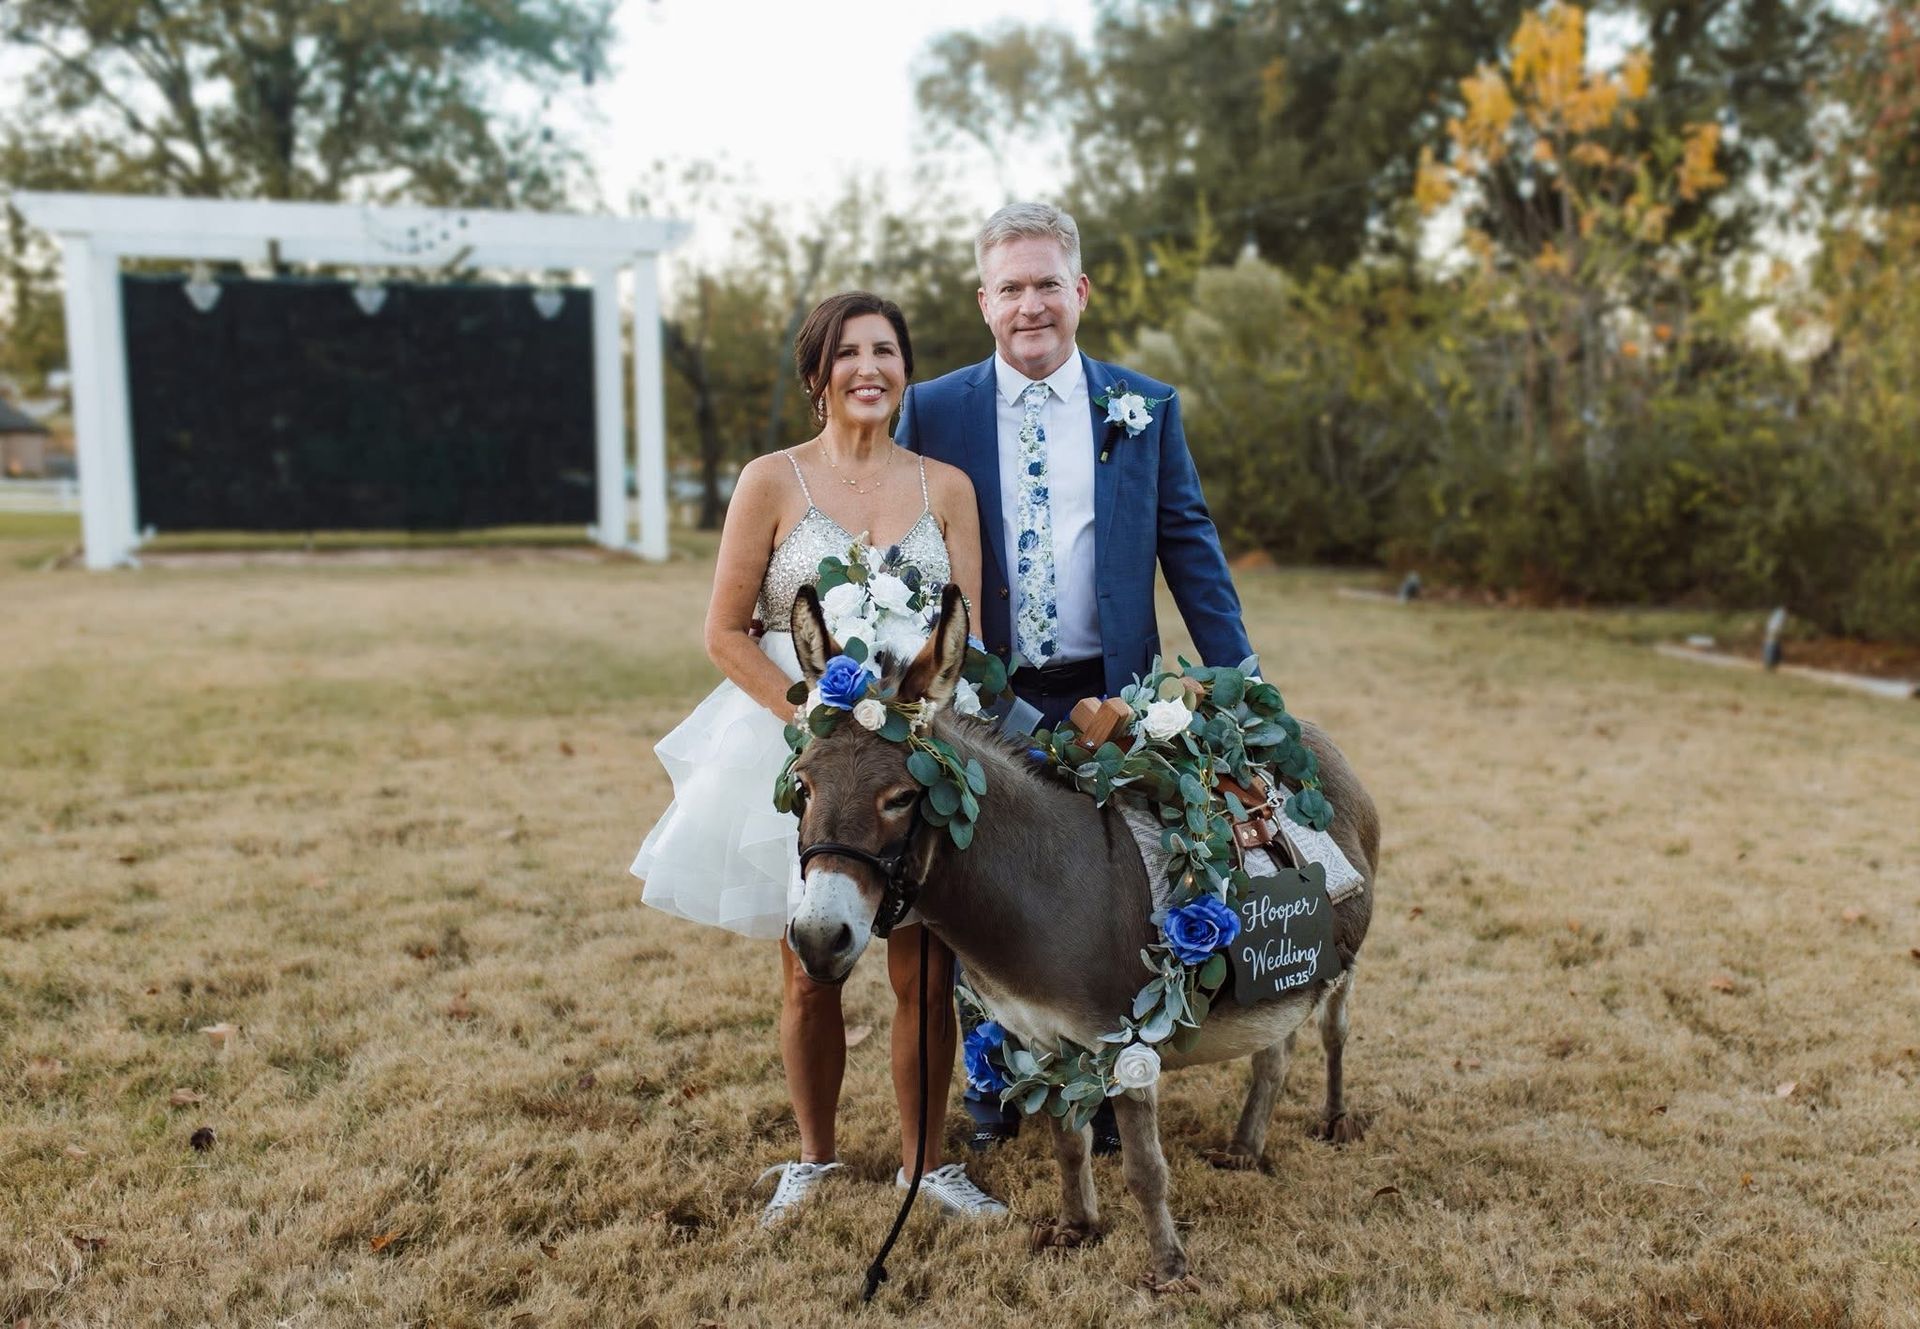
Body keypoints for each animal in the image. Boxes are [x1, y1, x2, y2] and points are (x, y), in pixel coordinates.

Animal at [784, 583, 1380, 1289]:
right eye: (803, 786)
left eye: (902, 798)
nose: (818, 938)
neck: (1045, 884)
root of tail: (1309, 734)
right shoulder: (1041, 1040)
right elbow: (1069, 1144)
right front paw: (1077, 1229)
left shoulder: (1126, 1042)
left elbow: (1146, 1169)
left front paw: (1169, 1271)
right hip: (1276, 978)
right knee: (1275, 1051)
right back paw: (1244, 1148)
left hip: (1342, 965)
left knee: (1334, 1032)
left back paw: (1335, 1120)